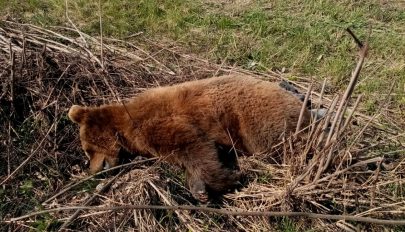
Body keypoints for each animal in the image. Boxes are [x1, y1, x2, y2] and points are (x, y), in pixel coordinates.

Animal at [68, 74, 310, 201]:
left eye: (88, 149)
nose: (92, 171)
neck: (126, 127)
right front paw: (201, 189)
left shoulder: (160, 124)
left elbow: (194, 147)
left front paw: (225, 180)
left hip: (258, 119)